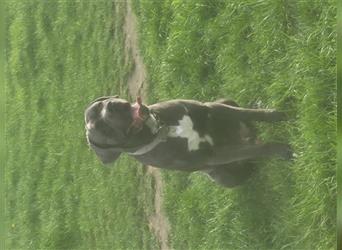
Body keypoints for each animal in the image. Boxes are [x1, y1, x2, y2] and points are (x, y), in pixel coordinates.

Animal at [85, 95, 292, 188]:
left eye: (100, 105)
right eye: (102, 128)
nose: (112, 105)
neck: (161, 129)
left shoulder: (210, 108)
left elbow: (249, 114)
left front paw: (276, 115)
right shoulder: (212, 156)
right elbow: (254, 150)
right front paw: (282, 150)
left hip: (225, 100)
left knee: (246, 121)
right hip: (224, 178)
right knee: (248, 161)